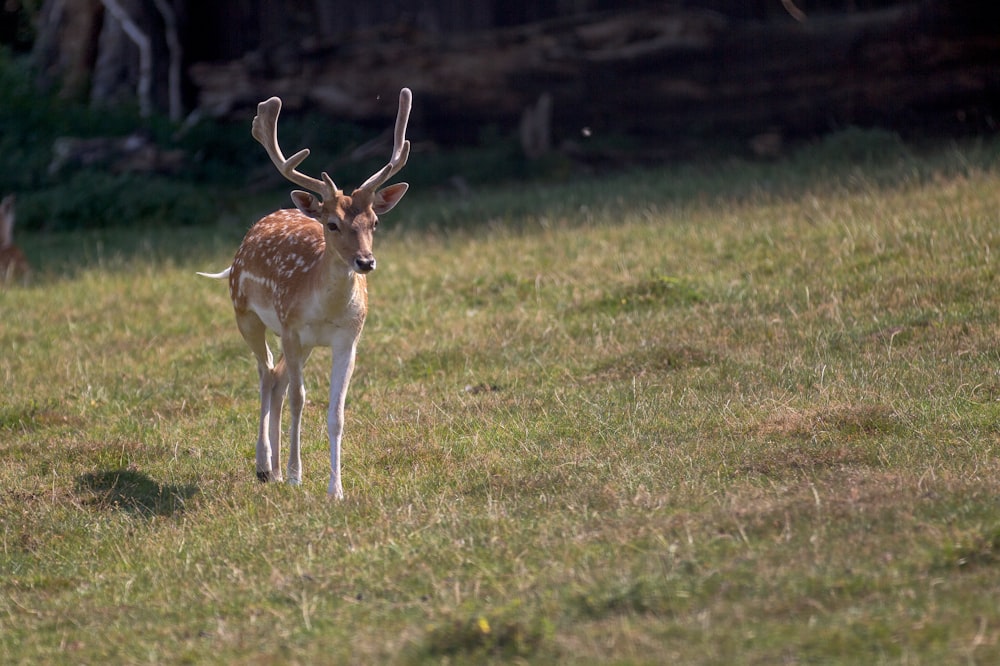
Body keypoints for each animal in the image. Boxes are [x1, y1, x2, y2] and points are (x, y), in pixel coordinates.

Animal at [199, 88, 410, 496]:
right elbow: (300, 399)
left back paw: (276, 470)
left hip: (300, 340)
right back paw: (265, 466)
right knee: (266, 374)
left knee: (278, 378)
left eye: (374, 222)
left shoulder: (348, 338)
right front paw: (298, 475)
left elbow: (336, 412)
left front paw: (335, 489)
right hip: (246, 313)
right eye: (332, 224)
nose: (365, 262)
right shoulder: (292, 328)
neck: (326, 309)